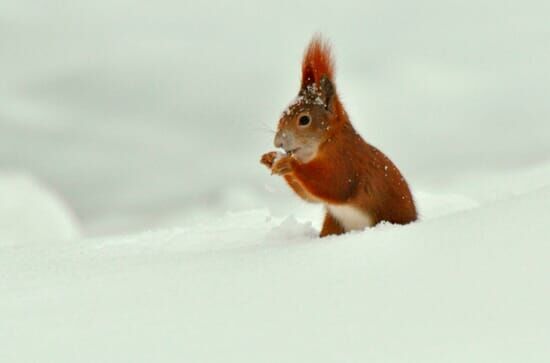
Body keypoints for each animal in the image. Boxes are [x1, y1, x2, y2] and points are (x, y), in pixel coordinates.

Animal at [264, 34, 418, 239]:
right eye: (282, 113)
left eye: (304, 120)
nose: (278, 142)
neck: (328, 141)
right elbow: (311, 197)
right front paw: (270, 158)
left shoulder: (346, 160)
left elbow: (335, 185)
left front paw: (289, 163)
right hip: (334, 223)